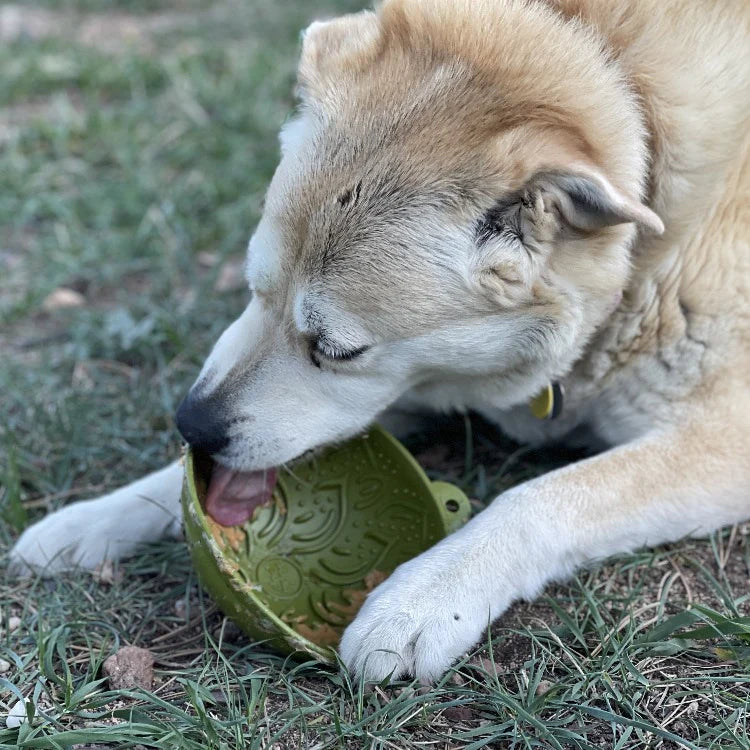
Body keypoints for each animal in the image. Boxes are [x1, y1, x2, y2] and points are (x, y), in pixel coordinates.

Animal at [7, 0, 750, 684]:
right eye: (253, 289)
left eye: (337, 350)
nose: (190, 425)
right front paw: (89, 521)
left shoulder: (719, 443)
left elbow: (539, 498)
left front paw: (422, 600)